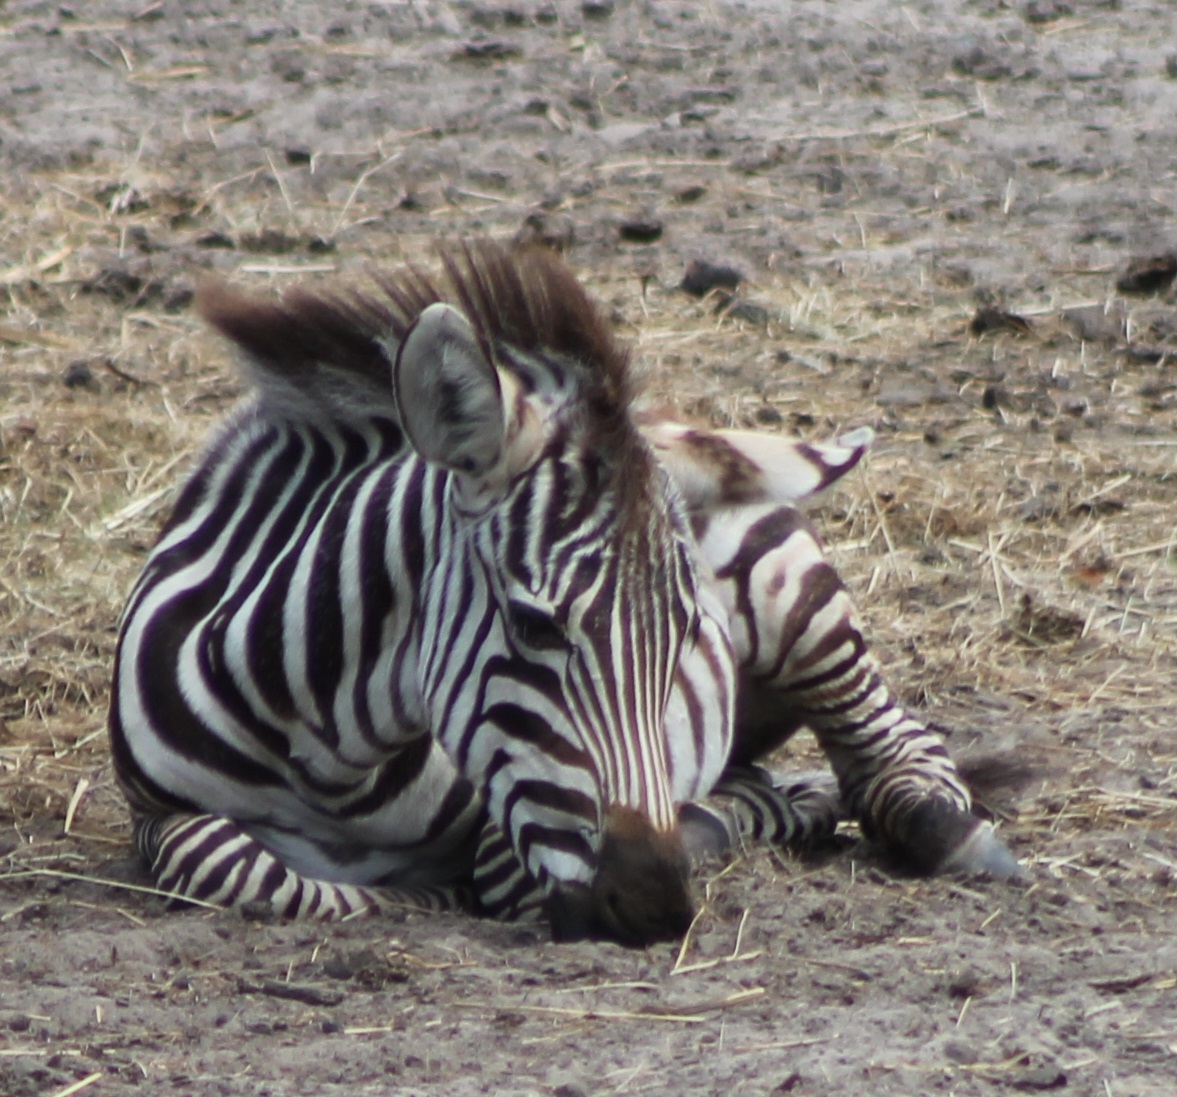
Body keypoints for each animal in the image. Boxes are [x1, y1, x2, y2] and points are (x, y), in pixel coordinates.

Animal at [108, 241, 1019, 946]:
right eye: (531, 622)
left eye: (687, 636)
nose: (655, 907)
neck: (331, 764)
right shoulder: (154, 813)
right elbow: (233, 867)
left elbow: (488, 867)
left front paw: (443, 890)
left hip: (791, 593)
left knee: (889, 738)